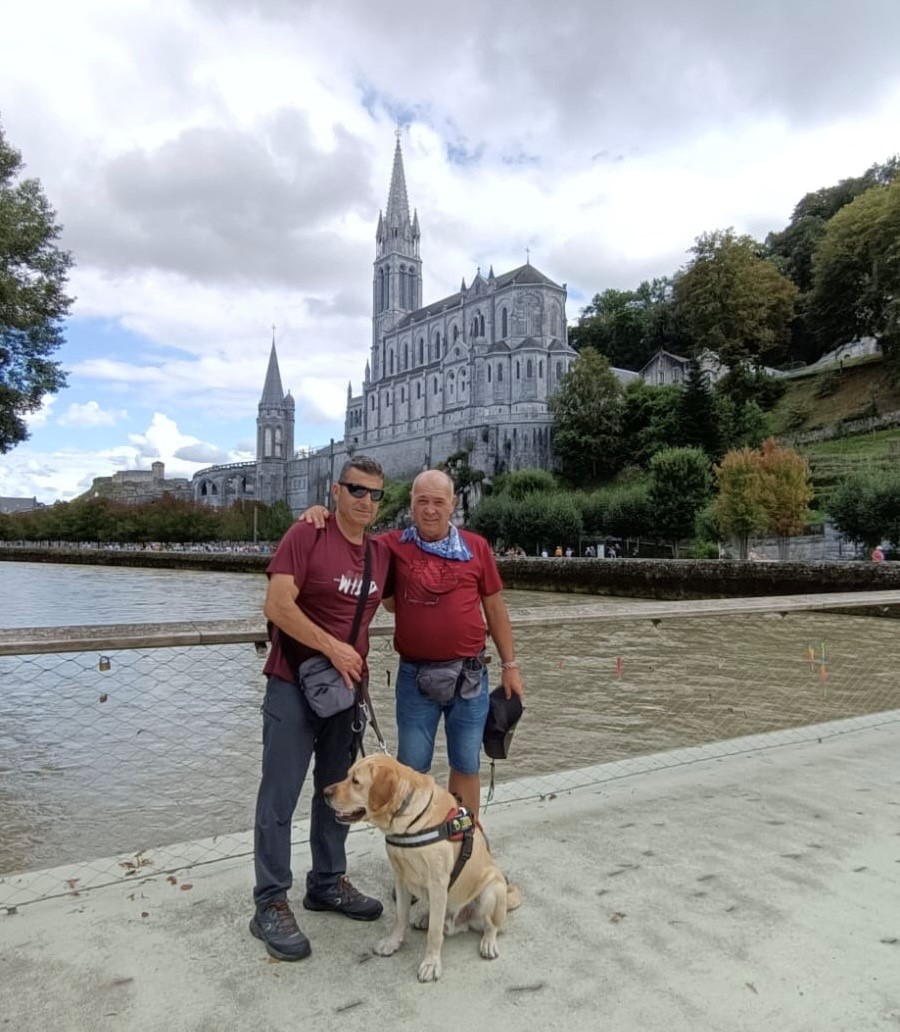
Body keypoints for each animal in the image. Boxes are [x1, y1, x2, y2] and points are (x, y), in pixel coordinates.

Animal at [324, 751, 520, 982]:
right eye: (347, 776)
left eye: (355, 782)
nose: (325, 793)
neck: (409, 820)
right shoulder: (401, 879)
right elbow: (400, 917)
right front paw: (393, 943)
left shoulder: (438, 883)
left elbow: (434, 934)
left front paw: (431, 964)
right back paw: (425, 918)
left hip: (492, 889)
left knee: (492, 926)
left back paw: (488, 943)